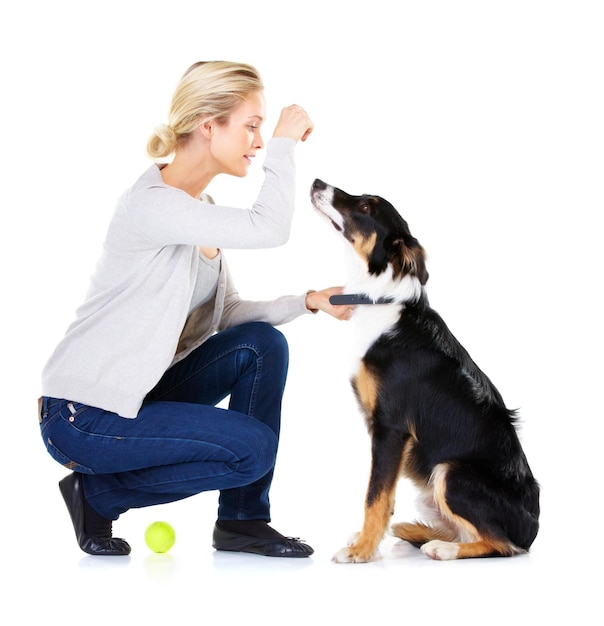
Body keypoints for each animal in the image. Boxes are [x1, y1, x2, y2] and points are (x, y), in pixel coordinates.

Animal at [310, 177, 540, 560]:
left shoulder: (390, 426)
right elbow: (384, 497)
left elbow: (375, 495)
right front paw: (367, 541)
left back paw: (442, 549)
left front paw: (362, 550)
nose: (316, 182)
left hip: (450, 472)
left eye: (366, 207)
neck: (380, 298)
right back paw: (414, 534)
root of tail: (534, 529)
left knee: (502, 544)